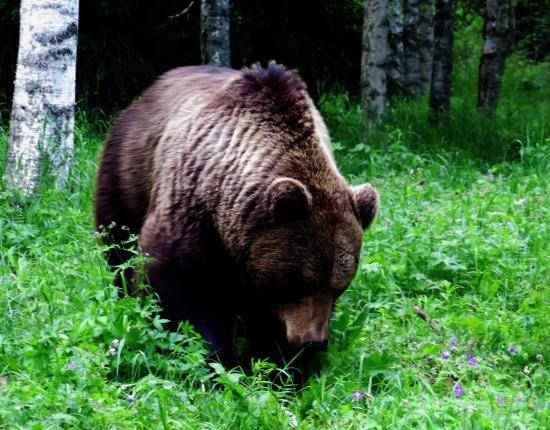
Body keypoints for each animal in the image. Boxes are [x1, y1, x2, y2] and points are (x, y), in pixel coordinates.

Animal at [95, 63, 380, 370]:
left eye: (339, 286)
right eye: (299, 281)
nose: (313, 341)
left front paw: (282, 365)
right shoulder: (192, 214)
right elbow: (179, 287)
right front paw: (220, 359)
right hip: (127, 173)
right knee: (117, 245)